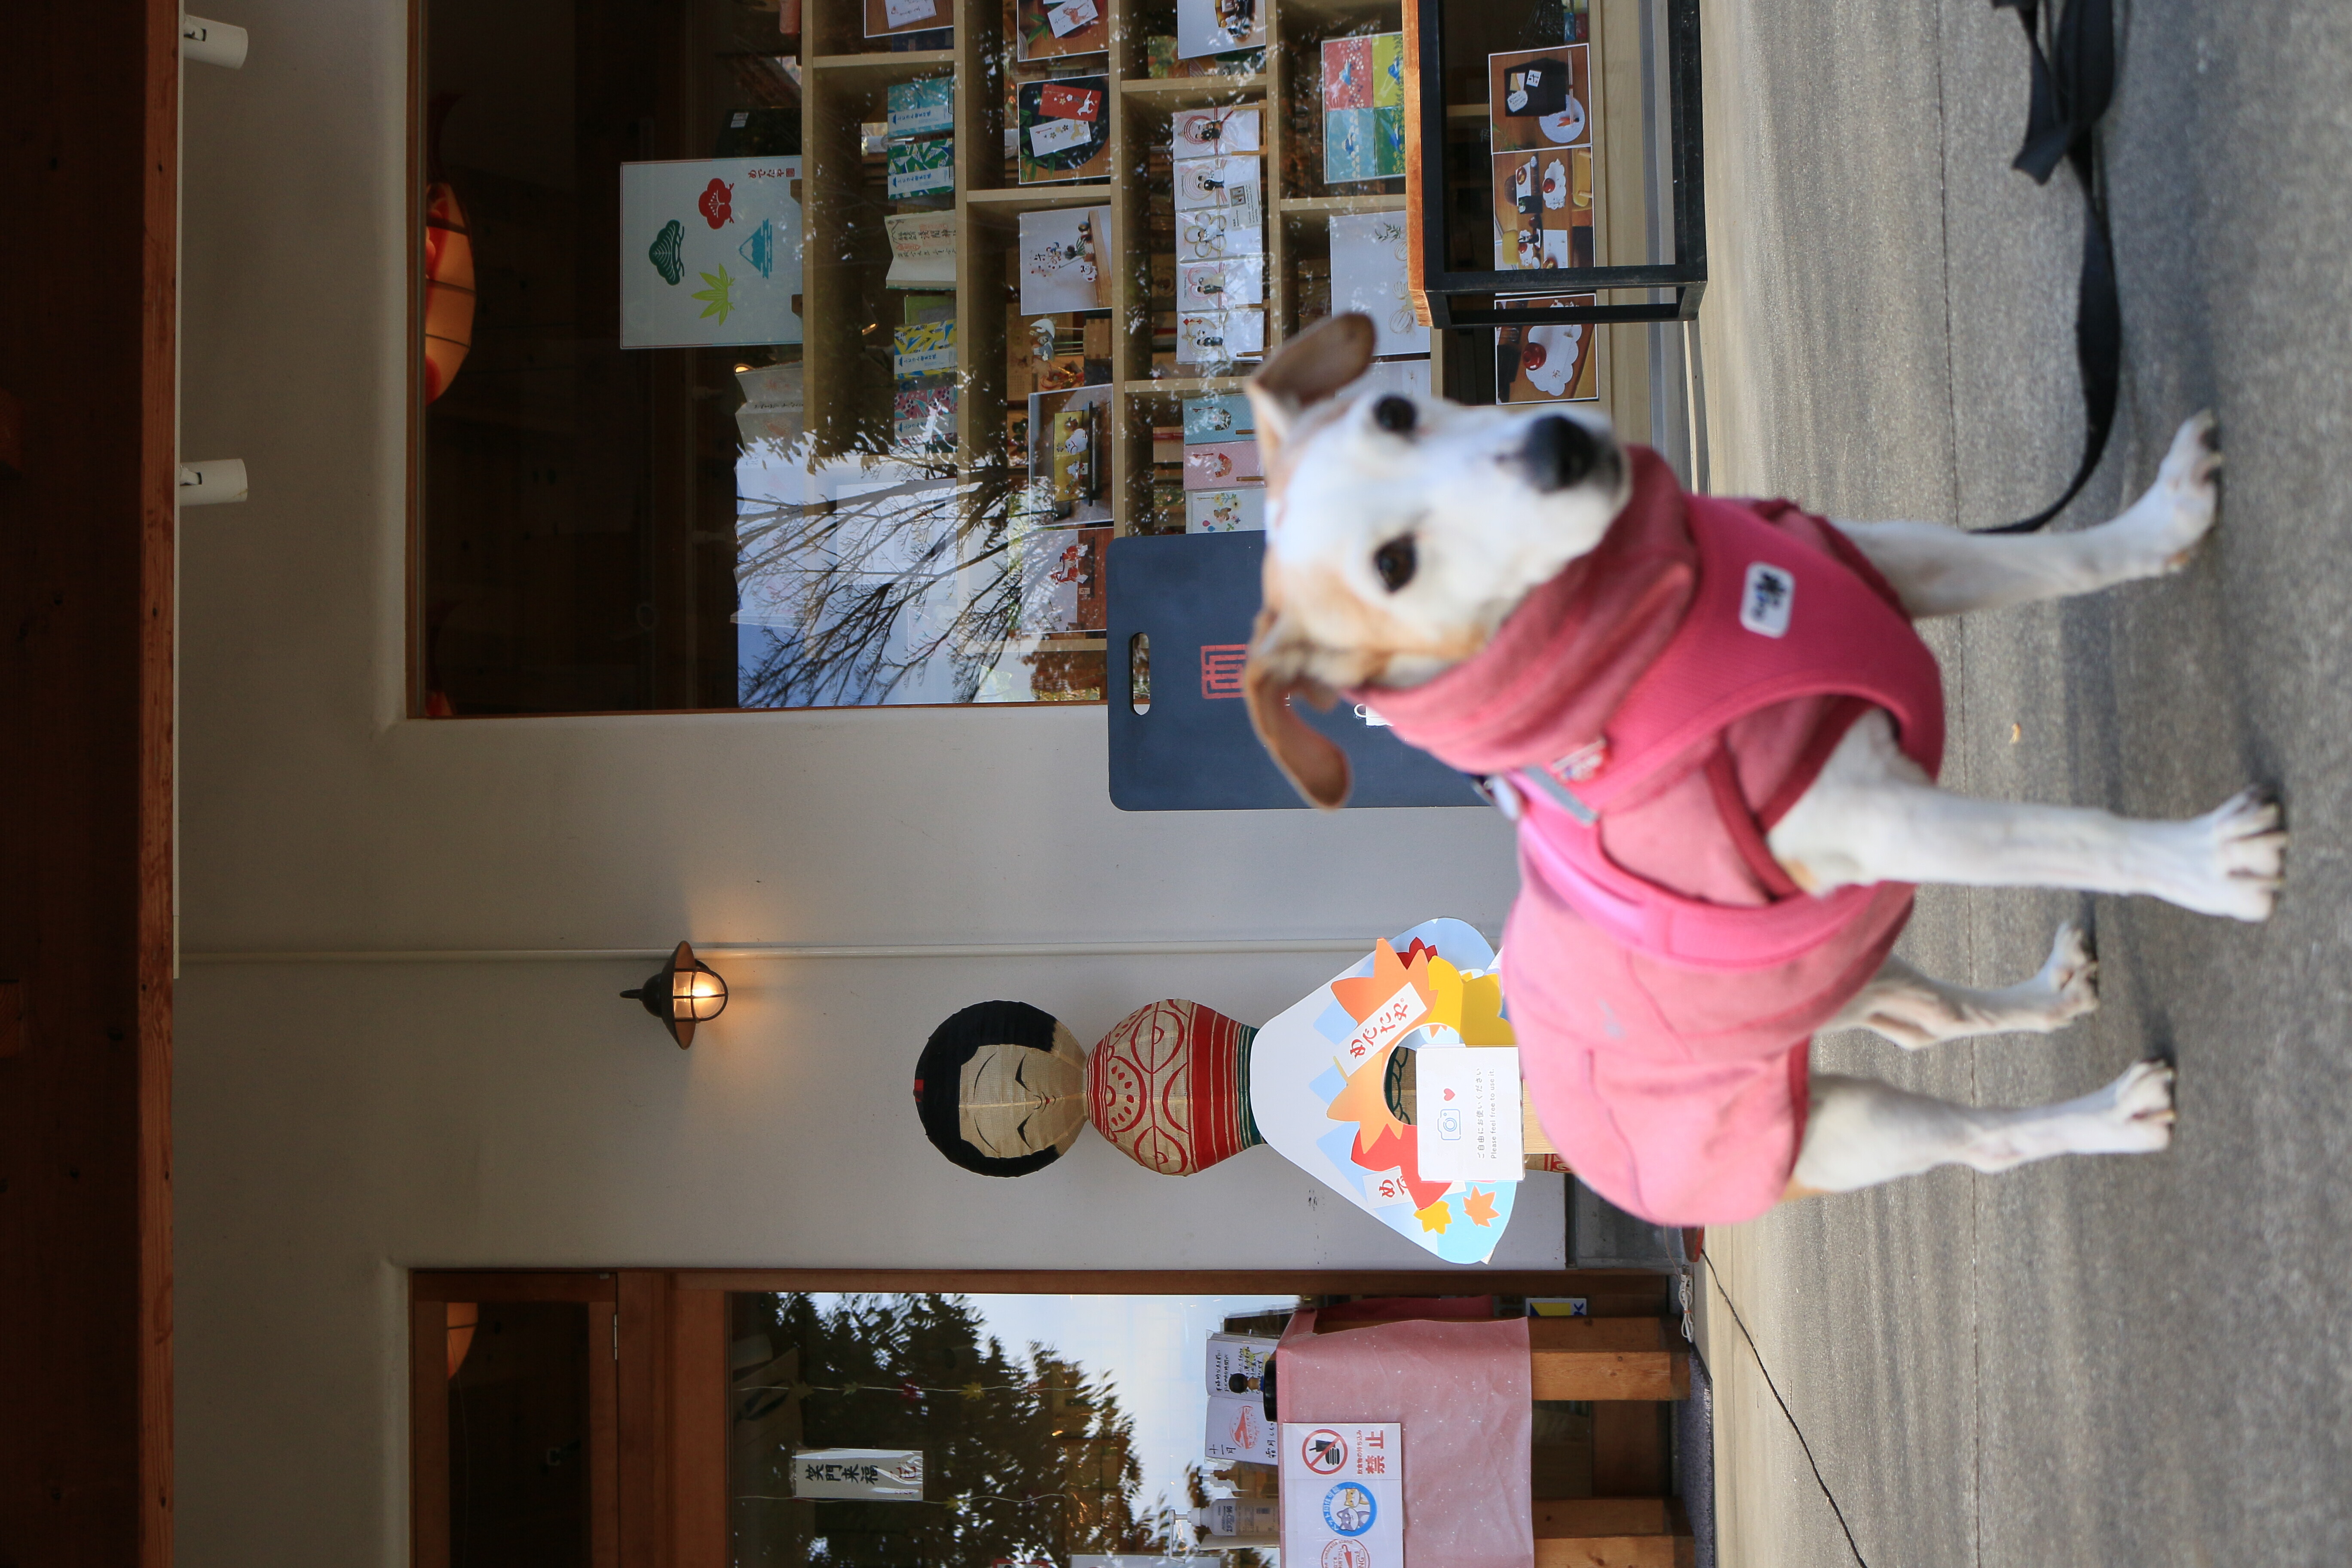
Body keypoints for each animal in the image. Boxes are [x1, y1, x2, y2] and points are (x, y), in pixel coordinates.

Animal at [1241, 313, 2282, 1225]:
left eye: (1394, 412)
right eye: (1394, 565)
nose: (1558, 448)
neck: (1660, 627)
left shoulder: (1882, 558)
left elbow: (2060, 561)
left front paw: (2165, 520)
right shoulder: (1881, 820)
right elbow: (2080, 836)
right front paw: (2209, 865)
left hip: (1833, 971)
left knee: (1931, 1017)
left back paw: (2047, 997)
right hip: (1836, 1127)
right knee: (1981, 1141)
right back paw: (2113, 1116)